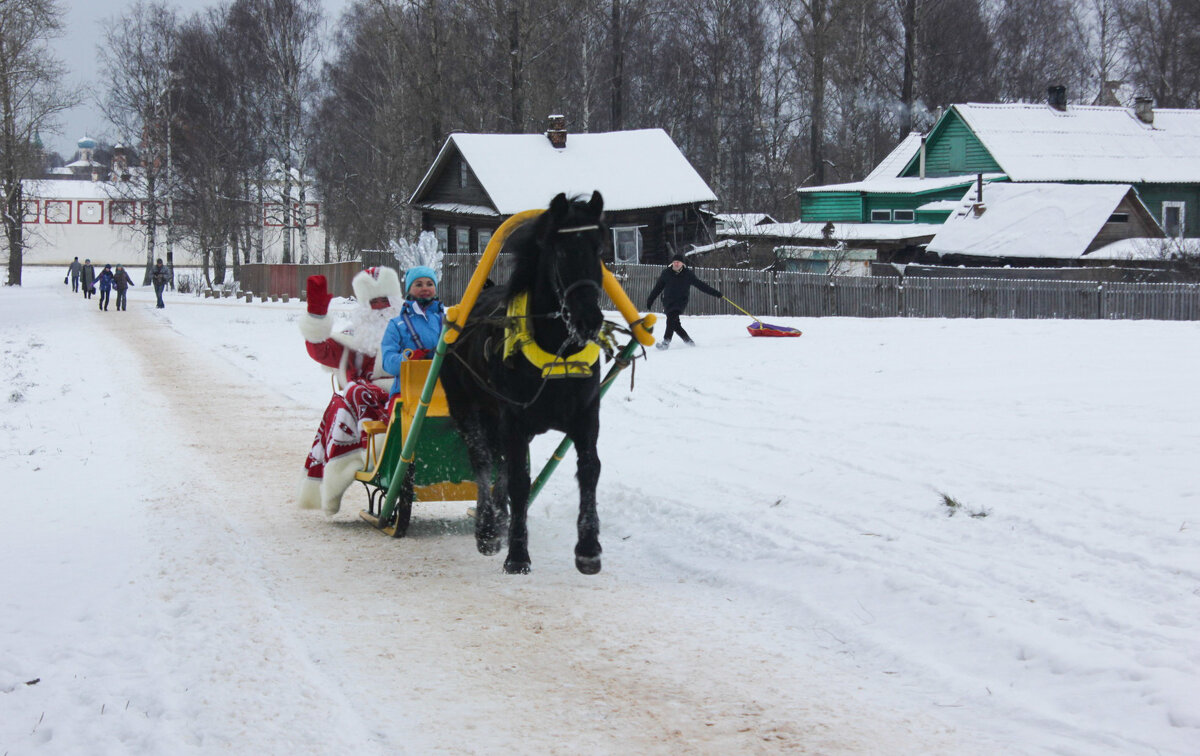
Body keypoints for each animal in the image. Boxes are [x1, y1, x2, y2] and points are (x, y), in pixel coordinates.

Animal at [441, 192, 609, 578]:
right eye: (560, 252)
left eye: (599, 249)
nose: (589, 320)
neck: (557, 353)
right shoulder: (515, 420)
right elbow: (518, 479)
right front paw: (517, 554)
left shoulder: (586, 416)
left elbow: (589, 470)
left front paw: (588, 548)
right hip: (466, 406)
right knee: (483, 460)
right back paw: (488, 527)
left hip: (496, 416)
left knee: (498, 461)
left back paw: (499, 520)